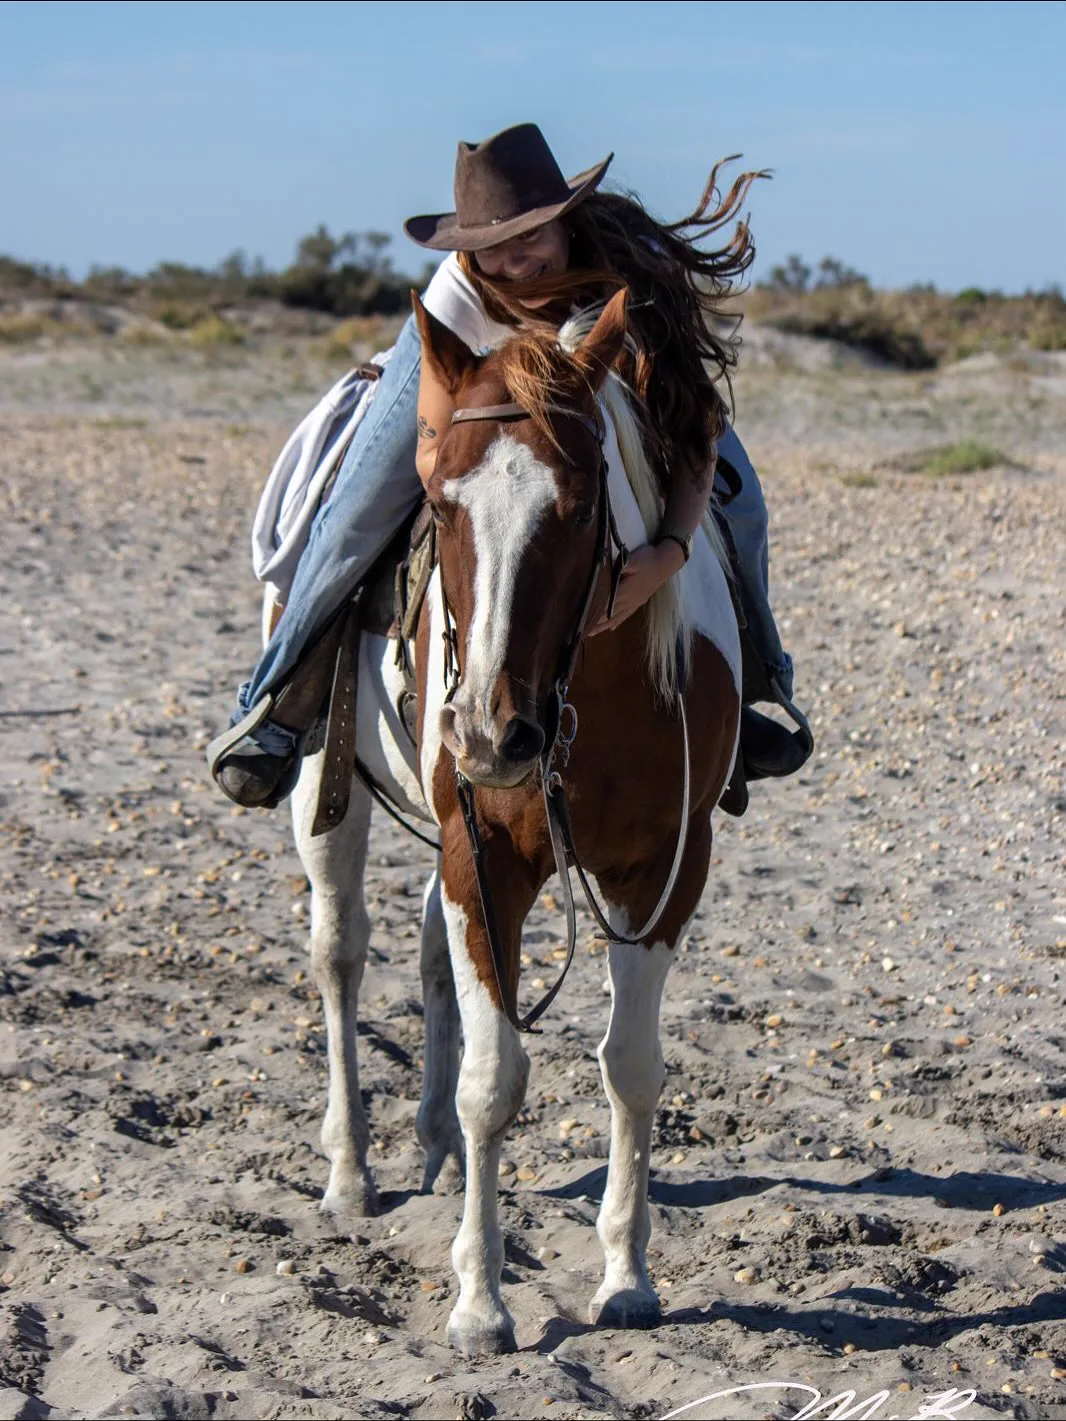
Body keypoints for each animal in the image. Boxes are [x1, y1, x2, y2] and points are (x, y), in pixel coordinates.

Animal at [278, 289, 742, 1356]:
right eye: (442, 506)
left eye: (575, 508)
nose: (489, 733)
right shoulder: (481, 855)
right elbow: (495, 1080)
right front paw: (480, 1302)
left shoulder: (667, 869)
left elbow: (632, 1067)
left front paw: (627, 1277)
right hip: (327, 787)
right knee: (340, 954)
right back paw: (352, 1172)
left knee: (425, 955)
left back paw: (437, 1153)